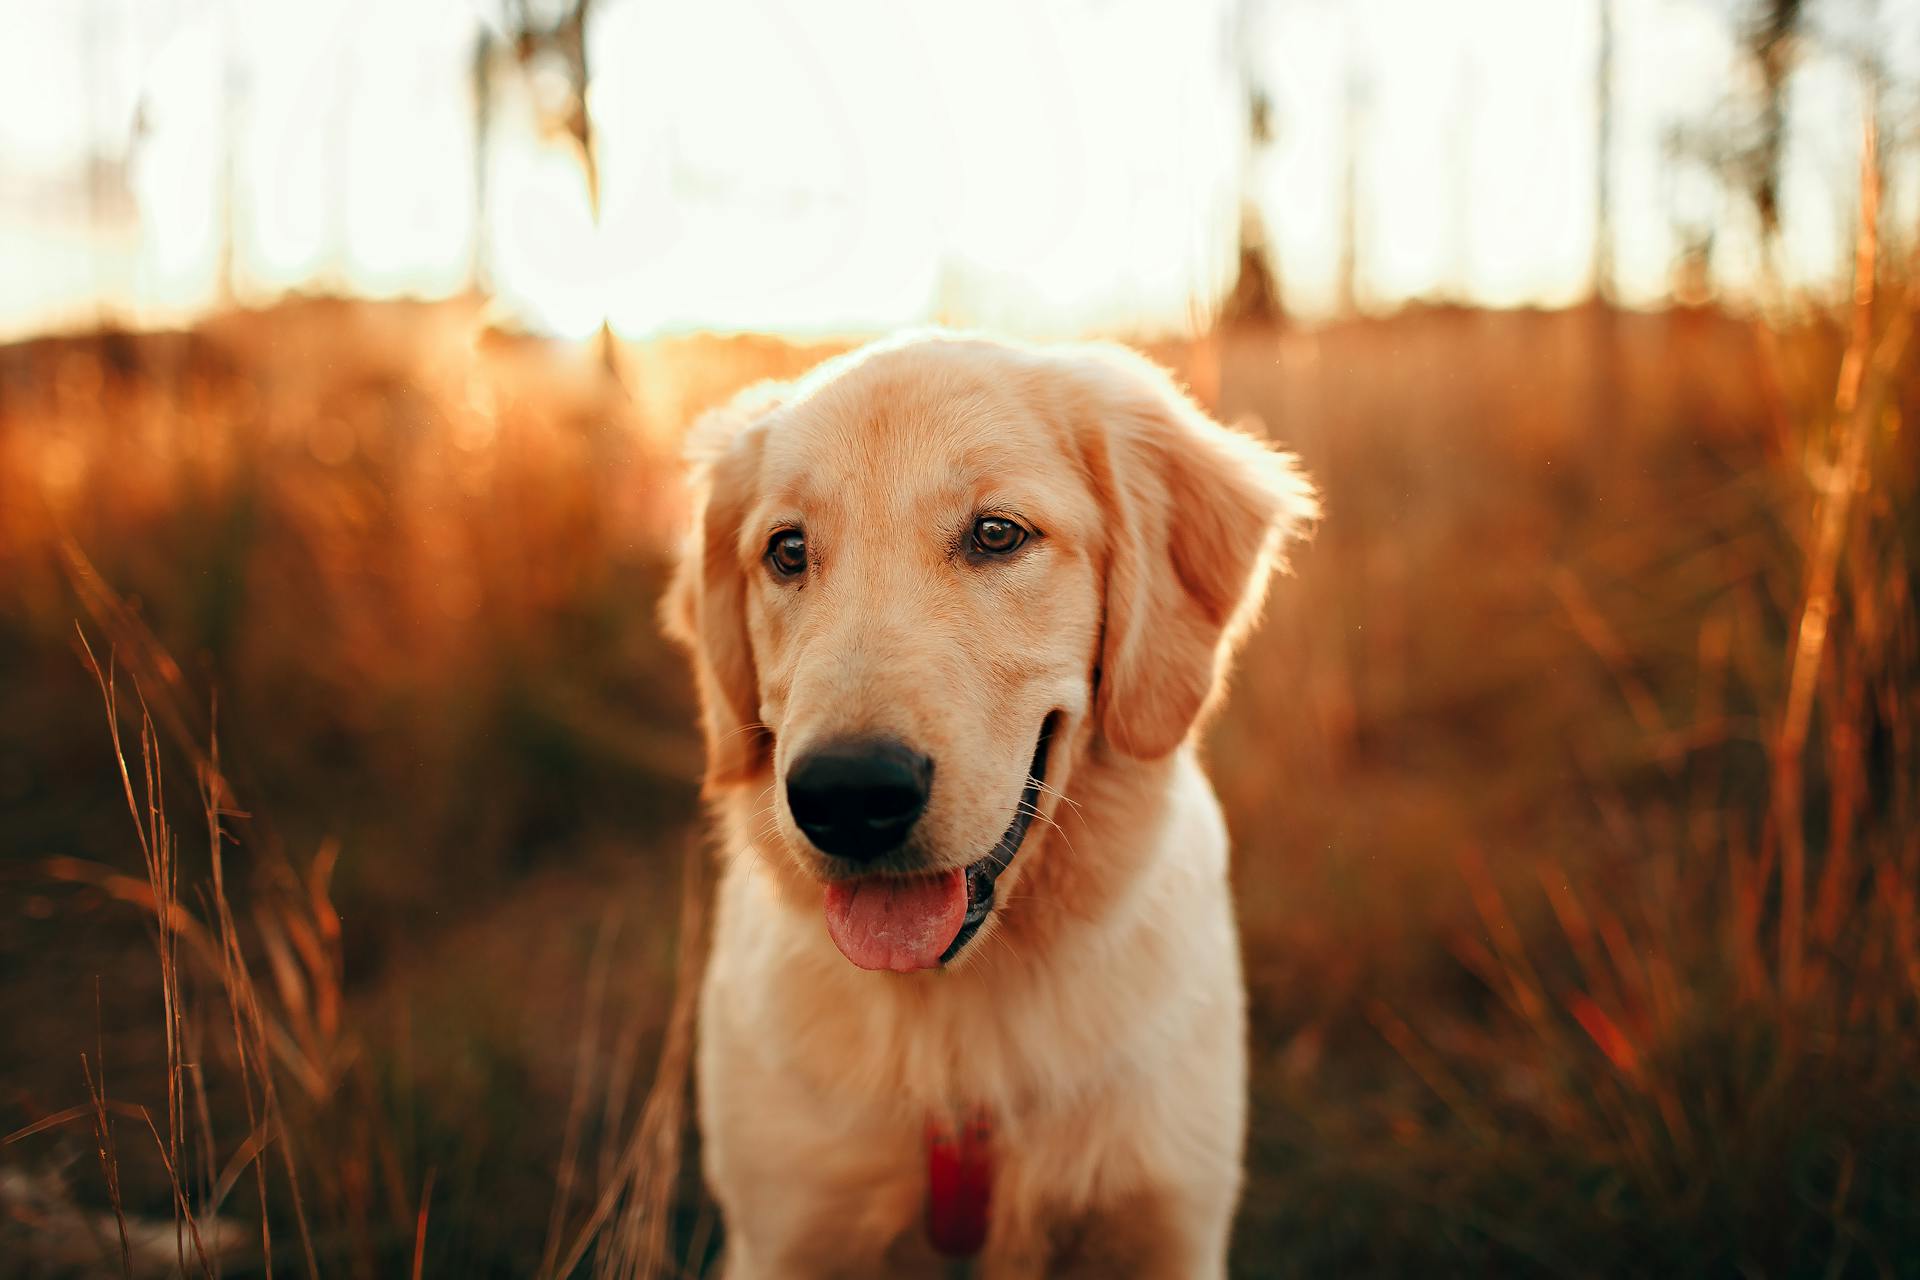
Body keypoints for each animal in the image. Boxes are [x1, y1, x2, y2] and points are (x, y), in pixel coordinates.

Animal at [664, 335, 1320, 1274]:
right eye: (787, 551)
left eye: (996, 534)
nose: (848, 795)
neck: (962, 1027)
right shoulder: (788, 1231)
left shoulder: (1167, 1224)